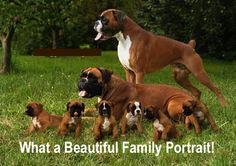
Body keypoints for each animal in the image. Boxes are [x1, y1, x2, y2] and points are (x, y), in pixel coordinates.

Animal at [78, 67, 218, 134]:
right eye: (82, 75)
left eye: (92, 78)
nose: (81, 81)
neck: (109, 88)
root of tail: (195, 100)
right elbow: (88, 111)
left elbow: (87, 118)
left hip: (172, 104)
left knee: (187, 118)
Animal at [93, 8, 226, 106]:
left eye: (104, 20)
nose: (95, 23)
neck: (124, 38)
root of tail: (190, 47)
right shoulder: (129, 72)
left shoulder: (139, 73)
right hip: (180, 77)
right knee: (197, 91)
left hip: (199, 73)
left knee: (216, 89)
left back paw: (225, 106)